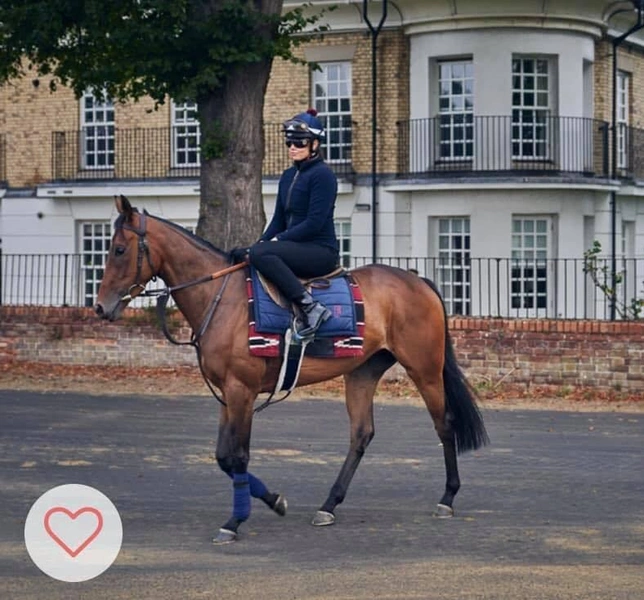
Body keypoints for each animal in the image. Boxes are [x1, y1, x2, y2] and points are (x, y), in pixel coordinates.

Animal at [95, 196, 488, 544]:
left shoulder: (241, 391)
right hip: (362, 373)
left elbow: (237, 456)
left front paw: (235, 521)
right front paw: (273, 500)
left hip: (425, 369)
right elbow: (224, 457)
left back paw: (447, 497)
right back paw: (329, 504)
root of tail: (417, 280)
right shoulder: (227, 395)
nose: (100, 307)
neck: (222, 298)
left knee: (444, 424)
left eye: (119, 250)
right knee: (361, 435)